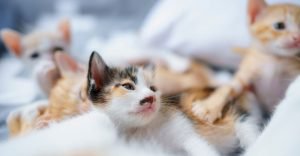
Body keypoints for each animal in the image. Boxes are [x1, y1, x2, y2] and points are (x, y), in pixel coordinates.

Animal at [85, 51, 219, 156]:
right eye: (127, 86)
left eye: (153, 89)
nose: (151, 97)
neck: (137, 129)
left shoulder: (185, 131)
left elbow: (200, 147)